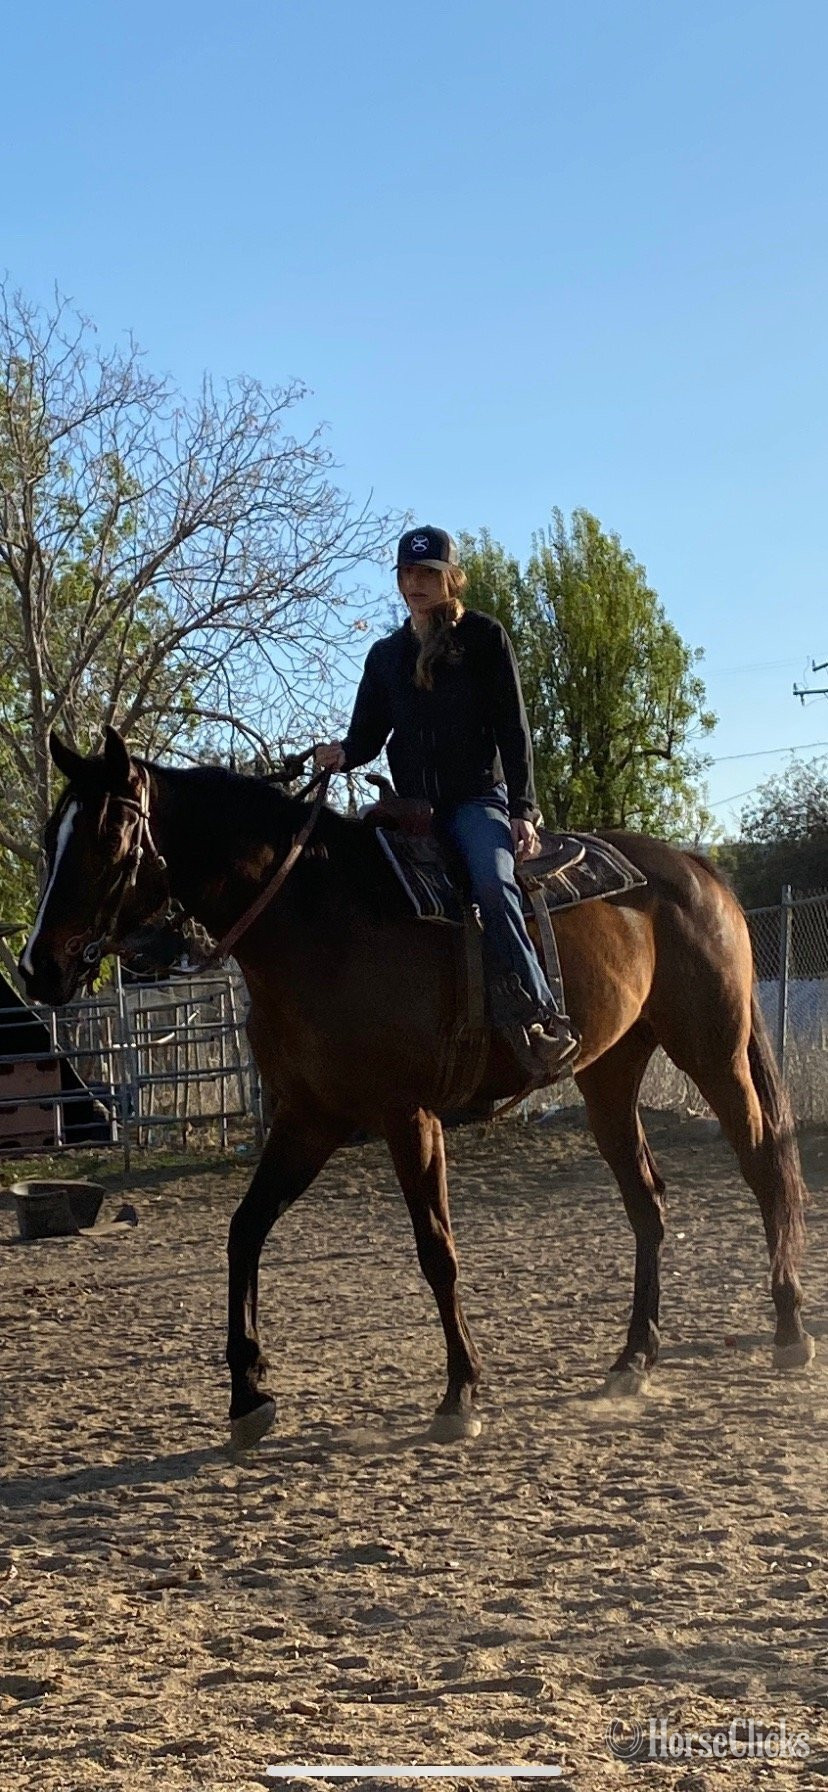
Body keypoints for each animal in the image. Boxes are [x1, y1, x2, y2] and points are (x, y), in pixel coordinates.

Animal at [18, 727, 813, 1449]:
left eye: (108, 833)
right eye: (56, 833)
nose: (37, 967)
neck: (318, 923)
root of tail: (696, 869)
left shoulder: (410, 1117)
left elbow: (436, 1249)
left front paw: (461, 1393)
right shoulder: (309, 1119)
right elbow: (245, 1230)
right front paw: (248, 1395)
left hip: (714, 1053)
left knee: (763, 1162)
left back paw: (788, 1327)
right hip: (609, 1072)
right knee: (647, 1200)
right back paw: (634, 1359)